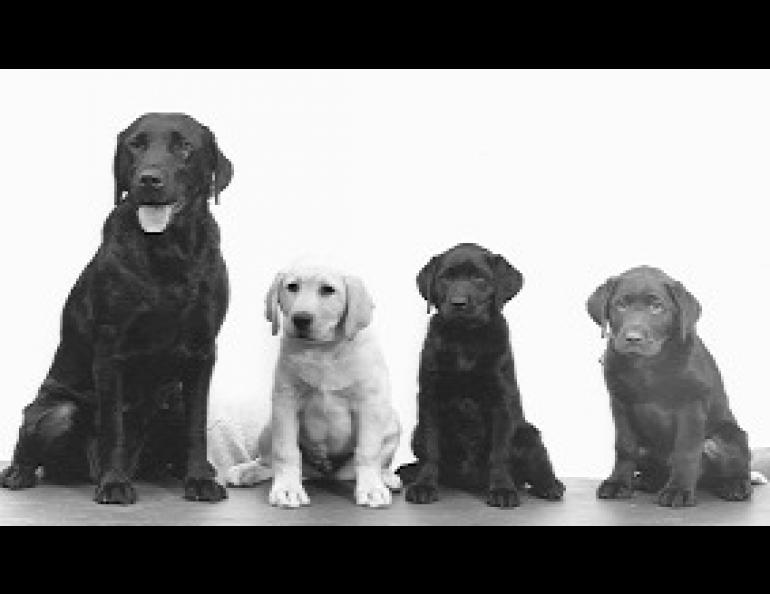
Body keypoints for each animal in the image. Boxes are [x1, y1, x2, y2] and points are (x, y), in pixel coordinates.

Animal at [1, 113, 232, 502]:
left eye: (184, 146)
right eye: (135, 145)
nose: (149, 179)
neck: (167, 251)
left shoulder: (203, 350)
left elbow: (196, 426)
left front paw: (199, 479)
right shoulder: (111, 349)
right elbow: (113, 426)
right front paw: (113, 482)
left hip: (173, 402)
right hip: (54, 410)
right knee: (30, 439)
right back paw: (19, 473)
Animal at [225, 266, 400, 506]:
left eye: (328, 290)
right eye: (292, 286)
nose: (300, 319)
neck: (322, 350)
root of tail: (323, 474)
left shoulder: (370, 404)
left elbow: (367, 451)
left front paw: (372, 488)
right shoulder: (285, 402)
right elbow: (286, 451)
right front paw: (287, 489)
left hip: (392, 425)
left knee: (362, 466)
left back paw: (386, 477)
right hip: (270, 427)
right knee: (270, 462)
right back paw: (247, 471)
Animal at [396, 243, 564, 506]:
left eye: (479, 278)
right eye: (445, 278)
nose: (458, 303)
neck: (465, 339)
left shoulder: (501, 401)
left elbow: (499, 453)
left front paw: (502, 489)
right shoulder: (430, 398)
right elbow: (431, 451)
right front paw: (424, 485)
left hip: (529, 433)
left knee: (539, 463)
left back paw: (550, 486)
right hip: (416, 433)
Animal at [588, 264, 752, 504]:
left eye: (657, 307)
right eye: (621, 305)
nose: (633, 338)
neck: (648, 365)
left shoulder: (691, 405)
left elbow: (686, 451)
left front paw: (679, 490)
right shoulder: (619, 402)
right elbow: (624, 446)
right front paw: (618, 483)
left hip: (728, 438)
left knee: (734, 467)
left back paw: (734, 485)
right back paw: (647, 481)